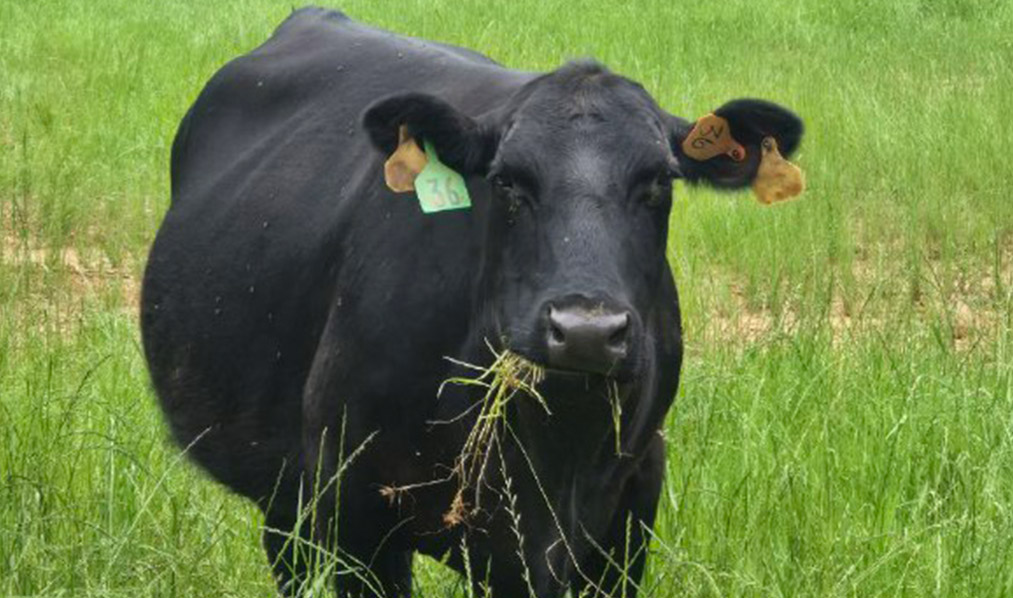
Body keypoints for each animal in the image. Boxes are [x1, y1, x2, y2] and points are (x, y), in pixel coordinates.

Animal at [141, 7, 804, 597]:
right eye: (507, 180)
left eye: (660, 181)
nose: (586, 330)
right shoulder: (358, 513)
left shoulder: (628, 513)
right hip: (289, 486)